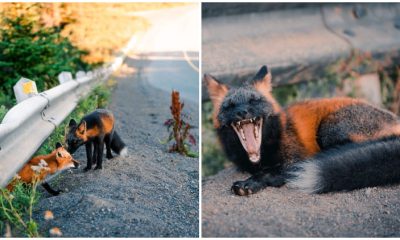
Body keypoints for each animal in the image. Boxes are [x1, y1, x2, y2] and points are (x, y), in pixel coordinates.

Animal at [205, 65, 400, 195]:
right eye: (229, 106)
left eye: (254, 101)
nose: (242, 112)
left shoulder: (296, 160)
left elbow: (269, 173)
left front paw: (251, 183)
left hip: (330, 129)